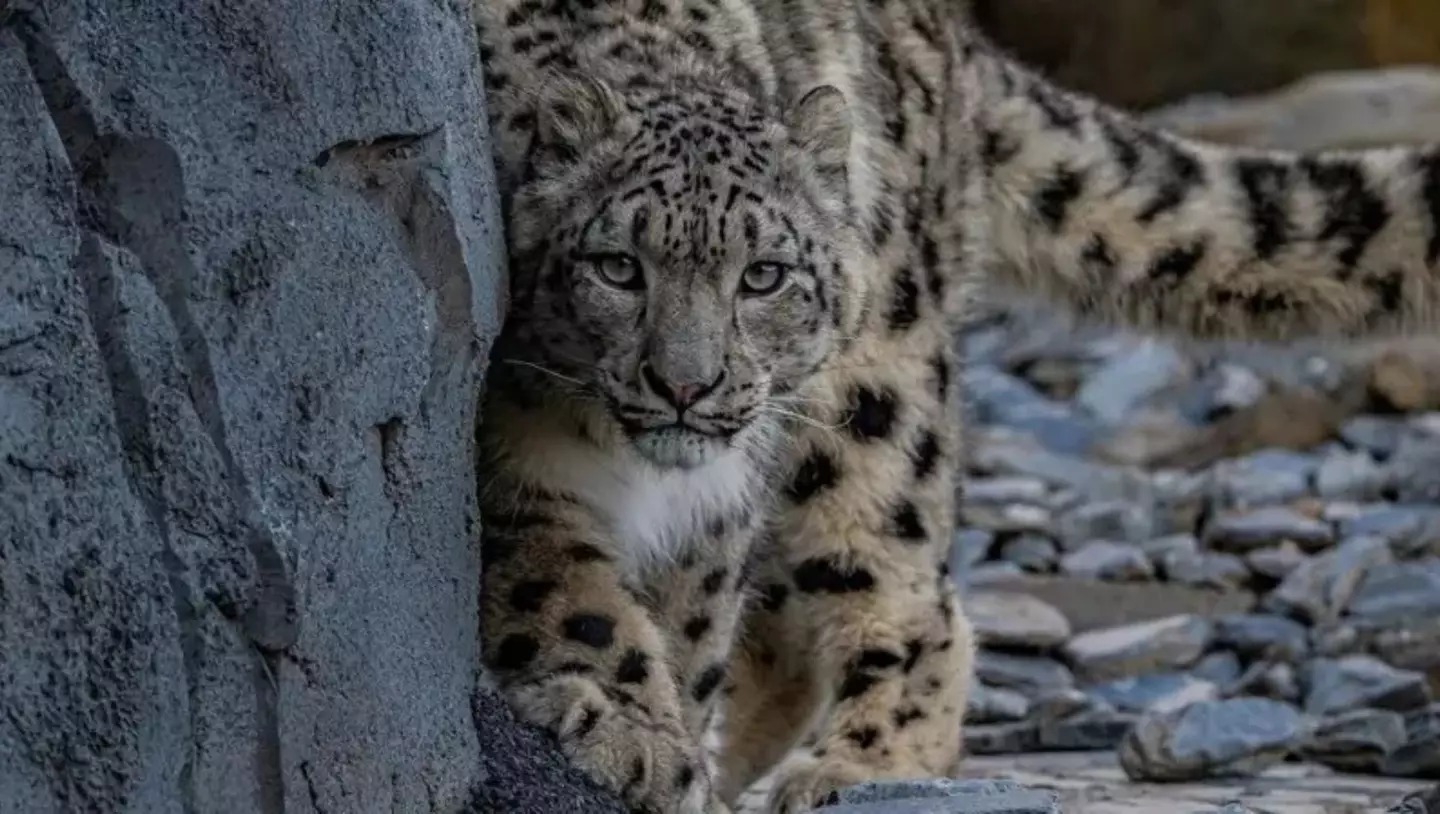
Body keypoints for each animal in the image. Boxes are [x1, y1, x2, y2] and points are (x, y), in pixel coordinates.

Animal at [467, 0, 1440, 810]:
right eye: (617, 267)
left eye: (765, 275)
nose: (685, 384)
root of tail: (948, 31)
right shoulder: (517, 463)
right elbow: (572, 594)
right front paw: (637, 734)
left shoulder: (716, 507)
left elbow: (691, 626)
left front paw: (663, 741)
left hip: (875, 394)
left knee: (903, 583)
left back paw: (856, 769)